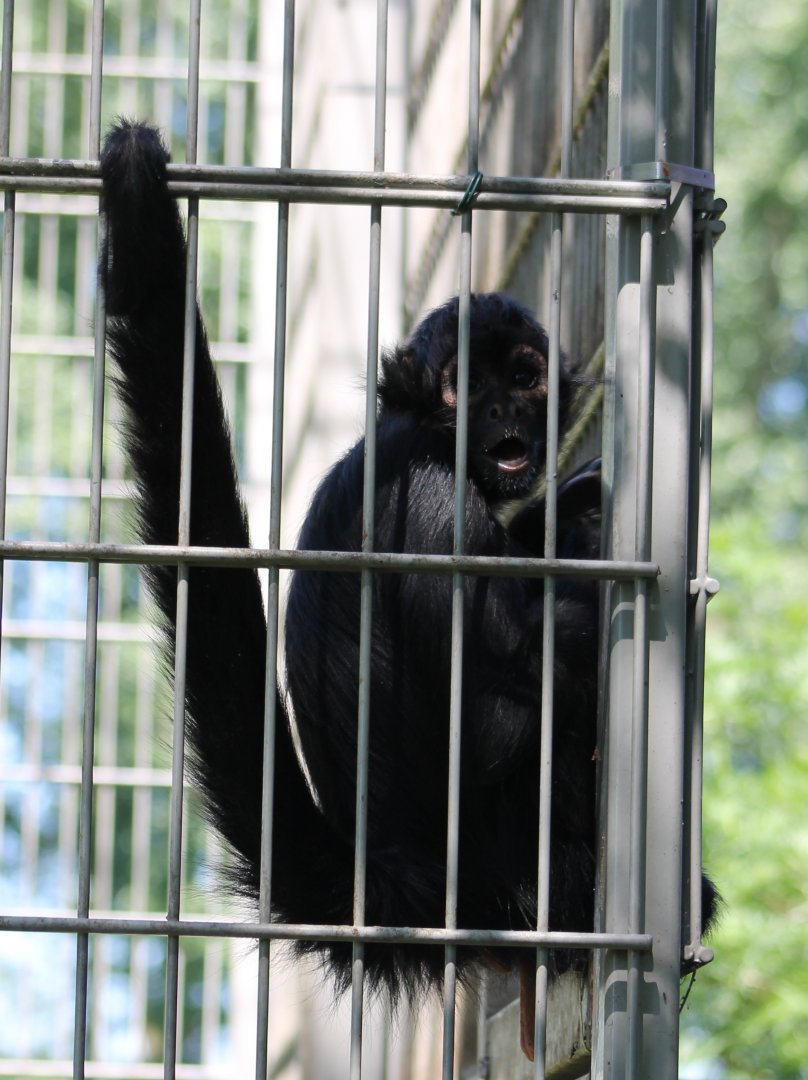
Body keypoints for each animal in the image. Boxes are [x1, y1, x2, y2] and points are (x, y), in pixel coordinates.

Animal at [99, 120, 716, 1061]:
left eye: (525, 377)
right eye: (468, 383)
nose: (503, 418)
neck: (416, 427)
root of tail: (392, 883)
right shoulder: (430, 498)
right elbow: (501, 718)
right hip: (510, 863)